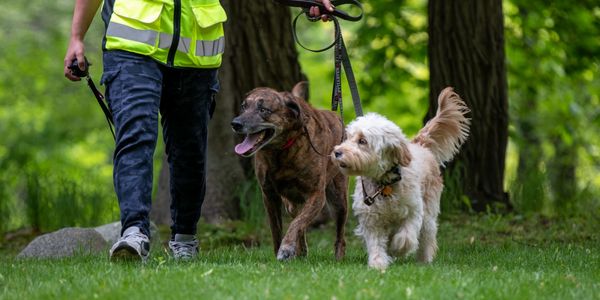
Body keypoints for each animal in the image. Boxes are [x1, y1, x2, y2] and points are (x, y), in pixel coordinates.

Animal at [232, 81, 350, 260]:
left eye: (263, 110)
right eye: (244, 107)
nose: (236, 123)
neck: (281, 151)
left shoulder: (316, 195)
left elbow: (296, 224)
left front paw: (286, 247)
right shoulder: (269, 195)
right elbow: (277, 229)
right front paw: (281, 252)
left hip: (339, 199)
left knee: (339, 235)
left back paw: (337, 258)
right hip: (291, 205)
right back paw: (301, 252)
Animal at [332, 87, 468, 270]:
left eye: (362, 141)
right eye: (348, 137)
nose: (337, 152)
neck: (384, 184)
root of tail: (420, 145)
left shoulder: (414, 212)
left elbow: (406, 237)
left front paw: (397, 248)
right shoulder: (371, 219)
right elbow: (376, 243)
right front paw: (378, 263)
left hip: (429, 213)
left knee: (427, 237)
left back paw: (424, 260)